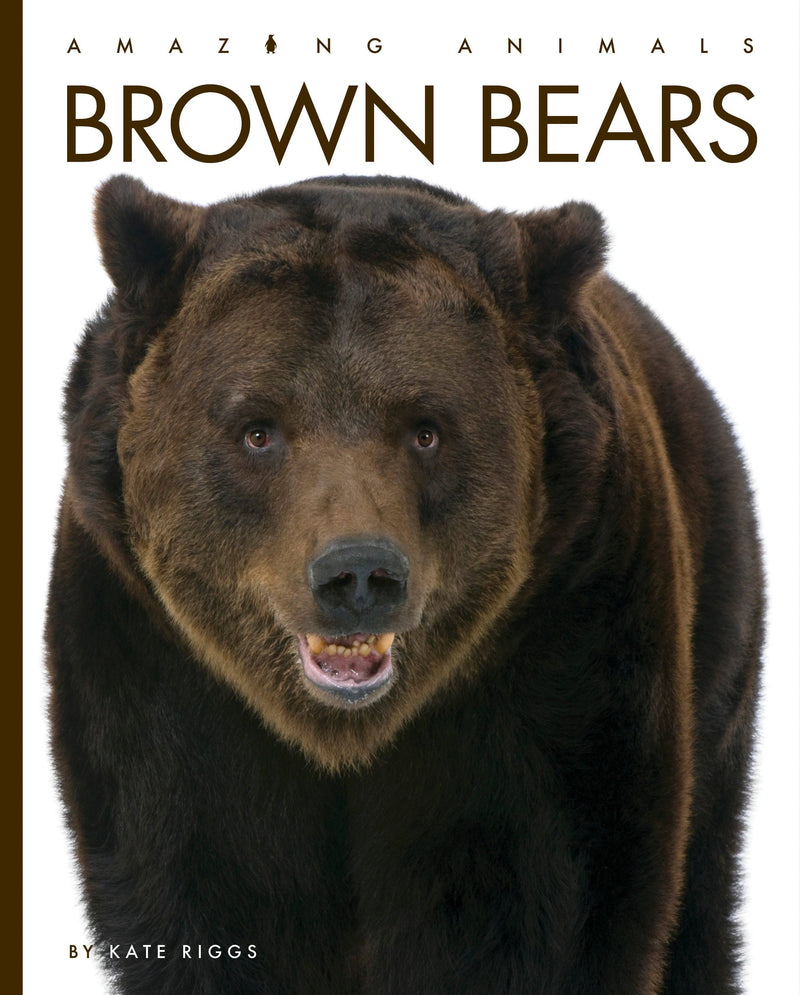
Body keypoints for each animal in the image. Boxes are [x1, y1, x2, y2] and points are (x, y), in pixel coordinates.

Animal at [47, 174, 763, 995]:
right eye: (258, 429)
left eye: (426, 428)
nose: (358, 573)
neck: (343, 736)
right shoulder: (159, 670)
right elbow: (205, 889)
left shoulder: (562, 649)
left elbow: (546, 900)